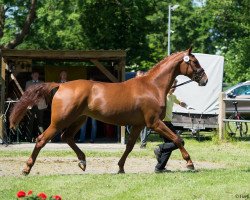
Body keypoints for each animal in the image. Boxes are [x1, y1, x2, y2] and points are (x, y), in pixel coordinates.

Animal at [9, 47, 207, 175]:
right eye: (194, 61)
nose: (204, 79)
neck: (152, 86)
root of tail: (61, 86)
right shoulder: (154, 123)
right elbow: (177, 139)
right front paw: (189, 163)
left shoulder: (138, 125)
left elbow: (129, 147)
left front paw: (121, 167)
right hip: (60, 121)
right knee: (41, 139)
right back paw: (26, 168)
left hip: (78, 120)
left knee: (67, 137)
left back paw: (82, 161)